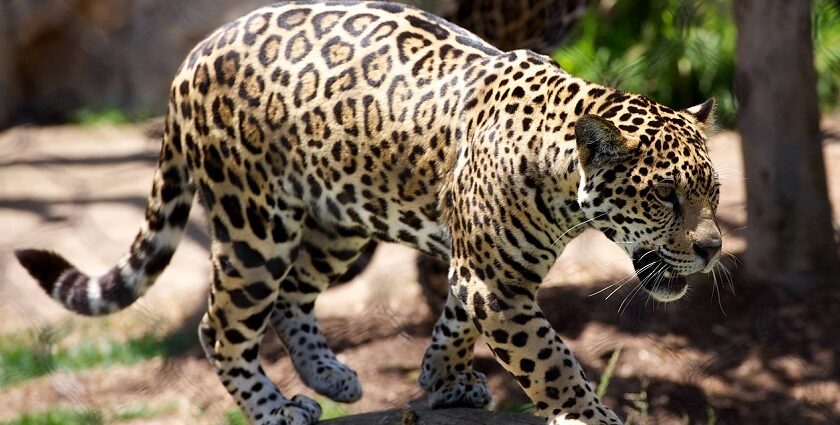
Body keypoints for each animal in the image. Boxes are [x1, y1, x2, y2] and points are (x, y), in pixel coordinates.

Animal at [13, 1, 720, 422]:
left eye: (713, 194)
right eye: (665, 197)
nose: (713, 248)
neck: (562, 173)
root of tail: (192, 58)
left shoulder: (476, 270)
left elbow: (453, 323)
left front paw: (442, 379)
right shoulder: (496, 283)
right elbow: (552, 362)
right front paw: (586, 414)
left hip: (339, 220)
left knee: (293, 296)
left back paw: (331, 378)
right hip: (255, 227)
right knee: (222, 325)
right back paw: (277, 408)